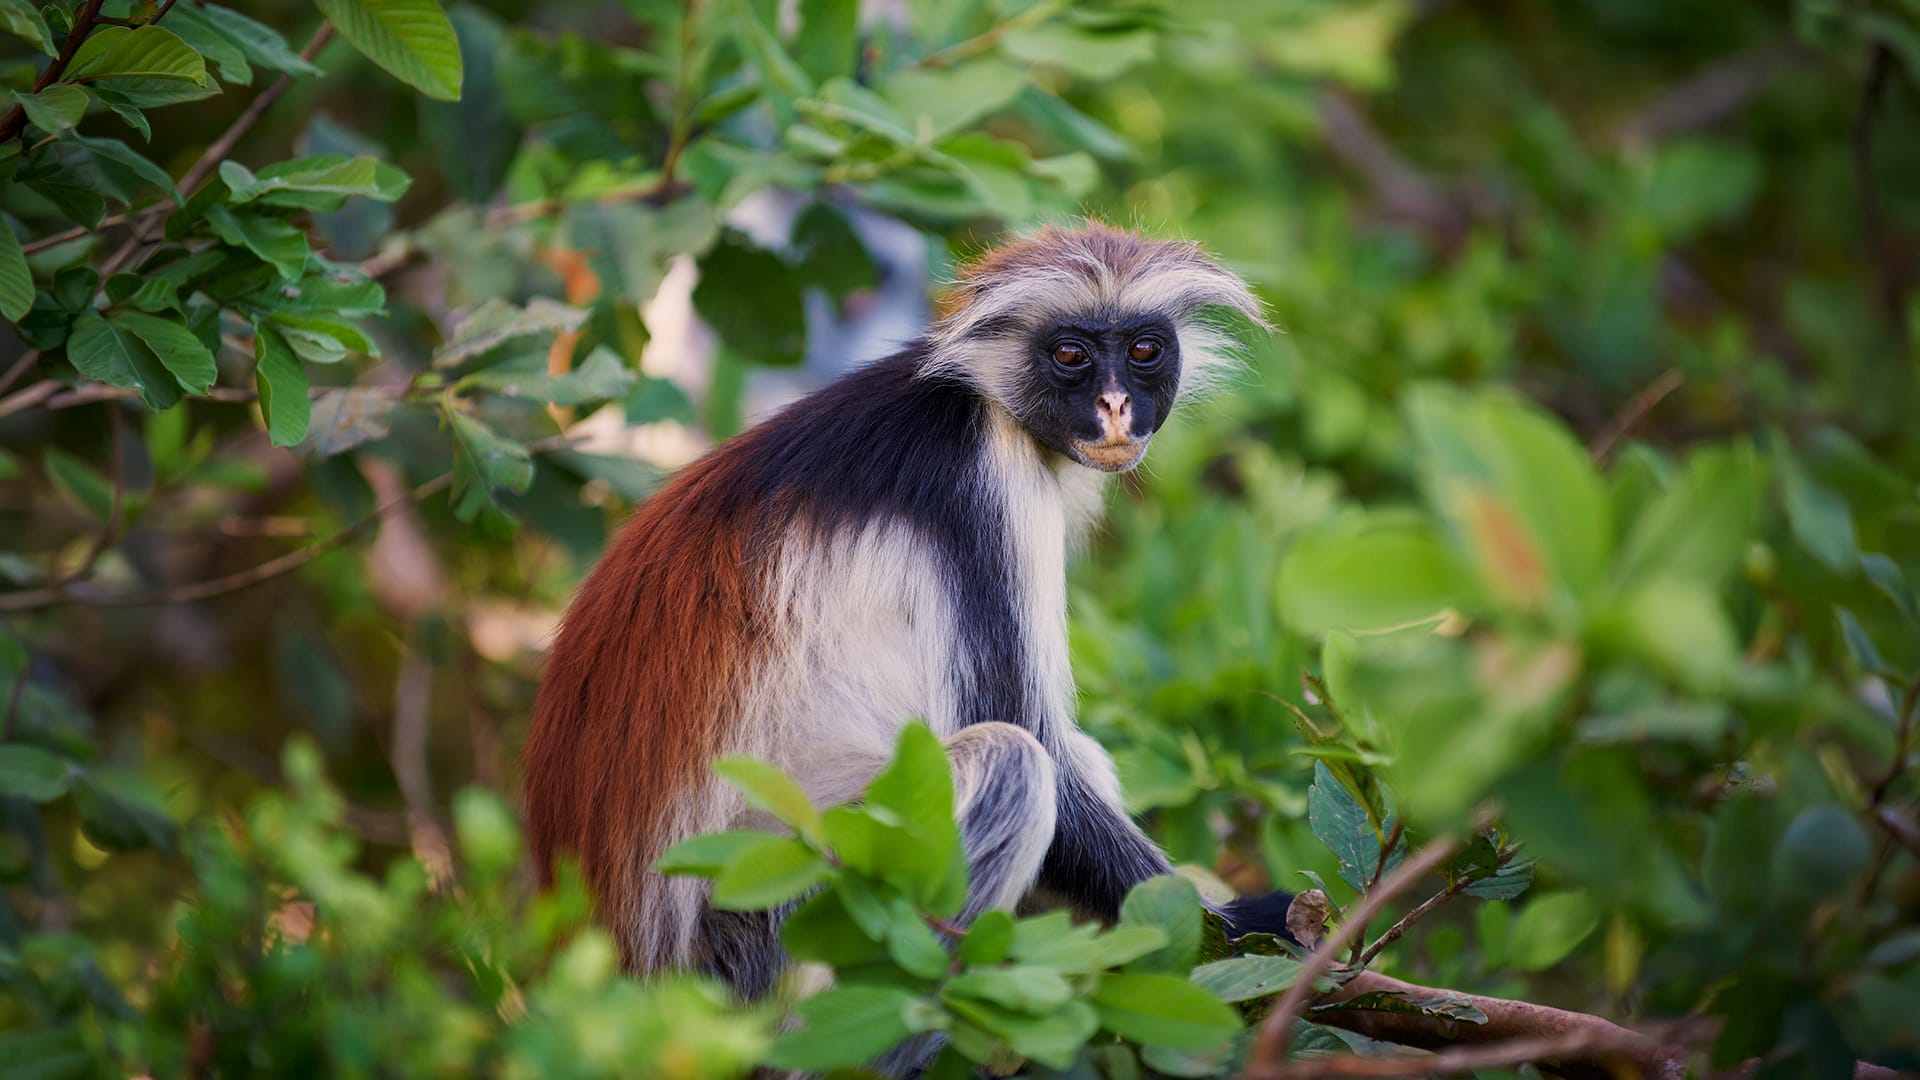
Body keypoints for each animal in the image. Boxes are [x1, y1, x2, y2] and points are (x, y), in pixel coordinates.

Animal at [523, 222, 1295, 1006]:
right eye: (1070, 356)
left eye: (1144, 351)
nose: (1114, 405)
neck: (980, 399)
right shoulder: (982, 483)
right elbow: (1024, 731)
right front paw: (1247, 928)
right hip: (780, 905)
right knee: (1014, 763)